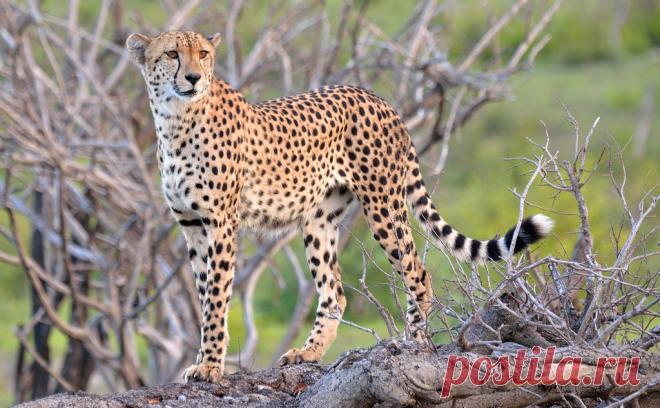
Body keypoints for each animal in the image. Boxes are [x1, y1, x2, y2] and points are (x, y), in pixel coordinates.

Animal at [126, 30, 553, 384]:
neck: (174, 120)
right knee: (335, 291)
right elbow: (203, 297)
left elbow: (215, 299)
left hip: (383, 205)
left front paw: (212, 366)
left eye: (203, 54)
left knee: (417, 270)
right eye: (172, 54)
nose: (193, 78)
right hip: (319, 220)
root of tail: (377, 97)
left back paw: (415, 342)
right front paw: (202, 360)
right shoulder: (192, 226)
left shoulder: (220, 224)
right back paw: (308, 352)